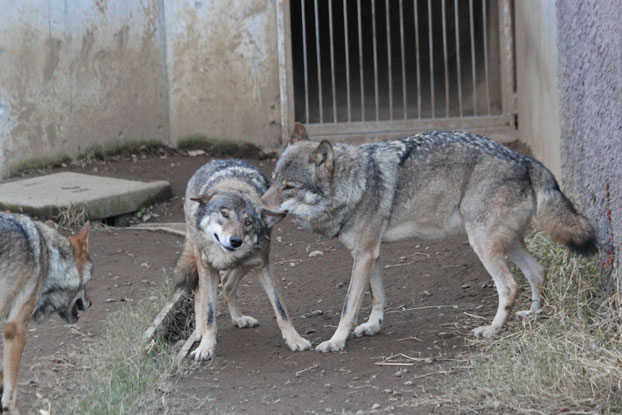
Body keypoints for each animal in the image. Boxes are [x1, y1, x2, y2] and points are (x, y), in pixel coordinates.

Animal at [174, 159, 312, 360]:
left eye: (248, 222)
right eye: (225, 214)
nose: (235, 241)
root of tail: (216, 160)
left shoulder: (263, 265)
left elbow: (281, 308)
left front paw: (295, 339)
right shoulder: (209, 268)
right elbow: (209, 313)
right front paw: (206, 346)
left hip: (246, 263)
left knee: (227, 283)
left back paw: (238, 319)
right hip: (202, 260)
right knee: (201, 292)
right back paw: (199, 331)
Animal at [260, 122, 596, 352]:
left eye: (289, 187)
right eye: (274, 180)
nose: (261, 206)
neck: (355, 184)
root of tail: (525, 161)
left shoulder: (364, 255)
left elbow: (348, 307)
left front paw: (335, 341)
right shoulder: (371, 253)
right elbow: (377, 297)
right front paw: (373, 326)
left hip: (482, 244)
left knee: (510, 286)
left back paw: (491, 330)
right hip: (507, 243)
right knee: (537, 272)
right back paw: (533, 315)